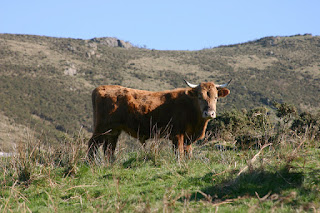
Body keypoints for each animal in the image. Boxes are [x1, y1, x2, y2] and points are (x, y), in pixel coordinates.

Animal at [88, 79, 230, 160]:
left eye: (216, 97)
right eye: (200, 97)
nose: (209, 113)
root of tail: (100, 88)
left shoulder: (188, 137)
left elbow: (187, 151)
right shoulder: (177, 135)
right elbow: (179, 153)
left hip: (113, 131)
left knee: (109, 148)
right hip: (101, 128)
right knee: (92, 145)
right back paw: (90, 164)